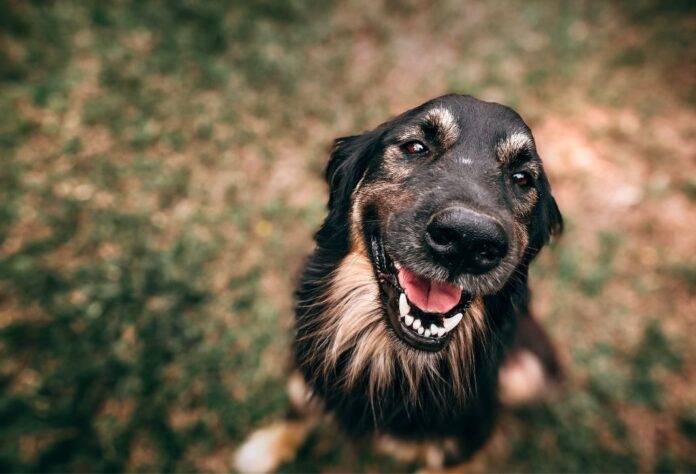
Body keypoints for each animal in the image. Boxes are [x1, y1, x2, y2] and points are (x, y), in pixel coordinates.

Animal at [237, 93, 564, 470]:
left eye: (523, 178)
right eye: (415, 146)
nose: (467, 241)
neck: (392, 359)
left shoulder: (464, 440)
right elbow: (298, 406)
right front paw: (269, 446)